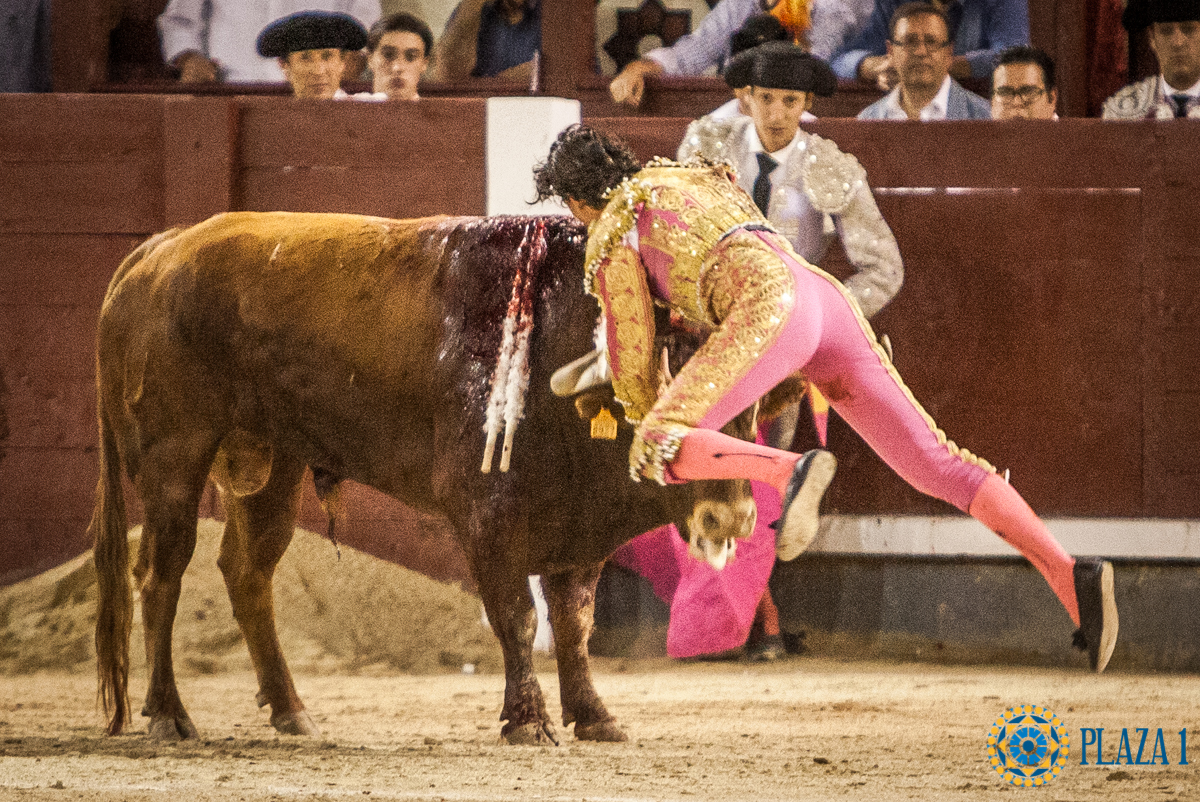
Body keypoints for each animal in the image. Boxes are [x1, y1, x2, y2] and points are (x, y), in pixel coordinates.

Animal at [91, 212, 758, 744]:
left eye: (753, 414)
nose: (733, 516)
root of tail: (162, 249)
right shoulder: (484, 518)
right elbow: (518, 617)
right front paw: (528, 722)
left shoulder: (580, 530)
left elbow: (574, 623)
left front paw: (595, 717)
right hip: (175, 456)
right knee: (160, 573)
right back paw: (169, 715)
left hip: (271, 463)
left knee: (248, 570)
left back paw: (291, 711)